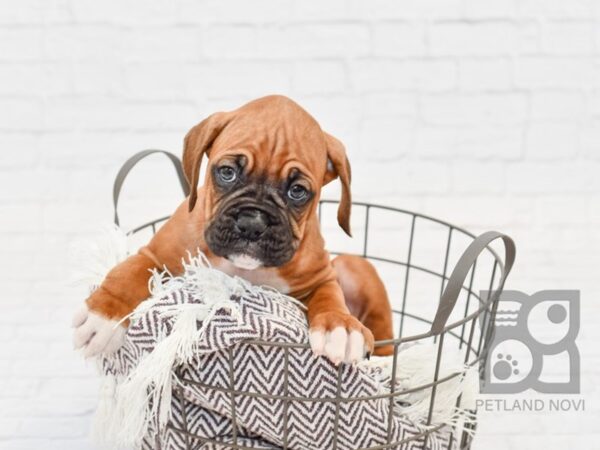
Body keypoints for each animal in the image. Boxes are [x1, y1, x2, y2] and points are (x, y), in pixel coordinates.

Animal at [72, 96, 394, 366]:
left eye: (298, 191)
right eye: (227, 172)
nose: (253, 223)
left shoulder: (322, 277)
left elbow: (330, 297)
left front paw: (340, 326)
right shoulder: (155, 257)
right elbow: (128, 274)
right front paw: (104, 316)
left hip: (354, 266)